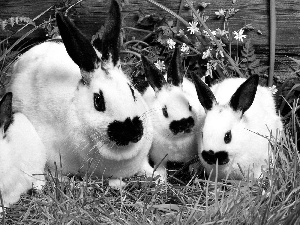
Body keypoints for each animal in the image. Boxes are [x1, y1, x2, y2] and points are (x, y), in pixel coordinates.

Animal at [141, 47, 206, 181]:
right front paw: (161, 180)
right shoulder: (159, 157)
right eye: (164, 111)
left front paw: (193, 173)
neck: (179, 139)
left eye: (189, 105)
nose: (183, 123)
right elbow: (160, 167)